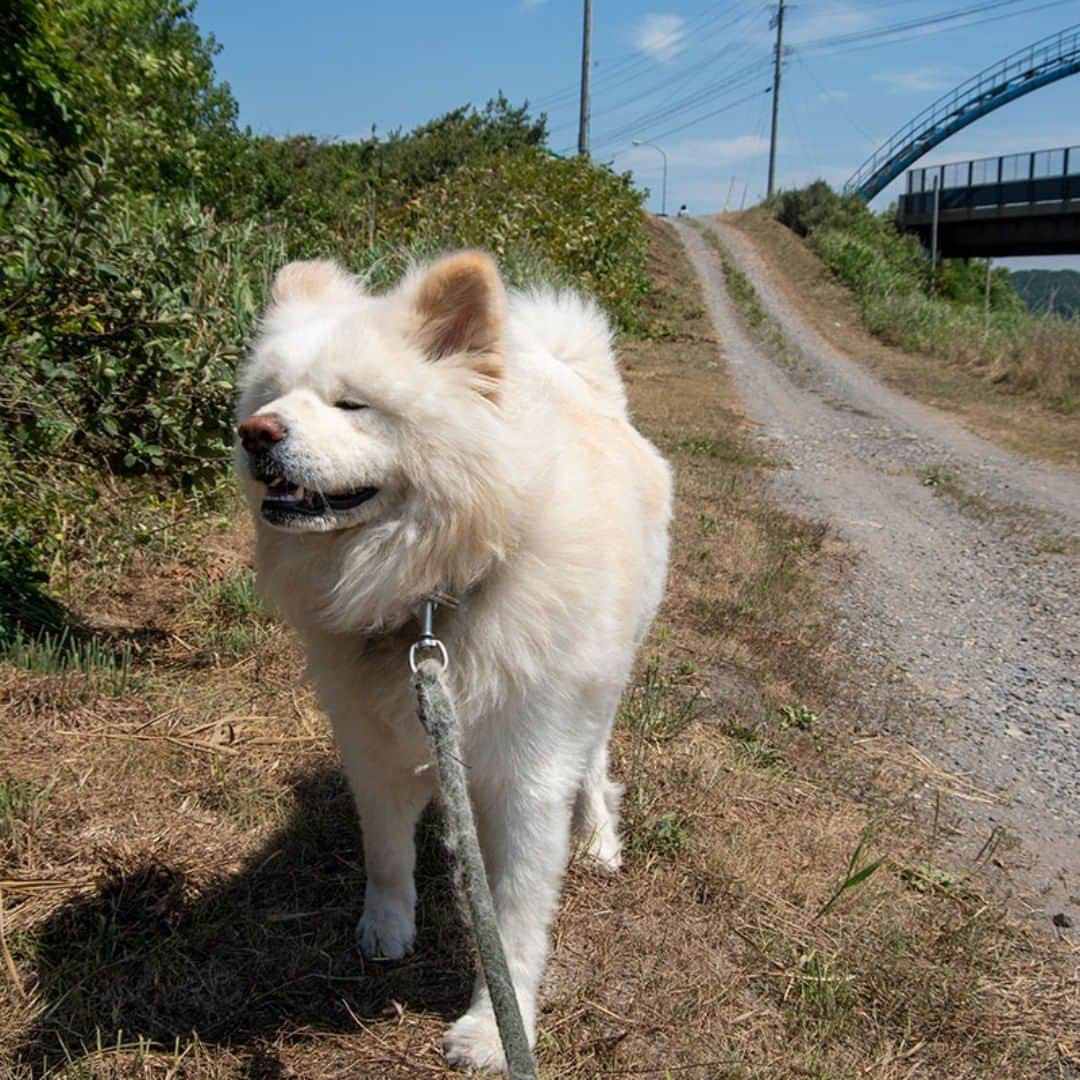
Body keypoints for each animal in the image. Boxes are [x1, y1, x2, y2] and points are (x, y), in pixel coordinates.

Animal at [235, 250, 669, 1071]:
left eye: (351, 404)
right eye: (272, 397)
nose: (254, 434)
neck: (432, 598)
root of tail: (586, 382)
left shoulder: (530, 777)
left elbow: (518, 921)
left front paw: (494, 1030)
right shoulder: (370, 745)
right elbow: (385, 854)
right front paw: (386, 929)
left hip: (603, 683)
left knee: (597, 762)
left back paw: (599, 839)